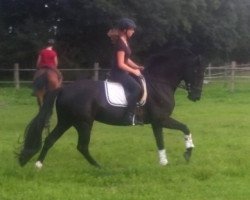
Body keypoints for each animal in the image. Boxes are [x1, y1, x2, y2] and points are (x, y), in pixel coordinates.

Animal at [17, 48, 205, 169]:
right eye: (197, 71)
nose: (196, 97)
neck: (159, 83)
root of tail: (64, 88)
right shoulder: (160, 119)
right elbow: (178, 131)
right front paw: (181, 155)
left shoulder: (158, 121)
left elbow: (168, 137)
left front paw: (173, 158)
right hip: (83, 123)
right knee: (81, 146)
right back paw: (100, 167)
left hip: (67, 121)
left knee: (50, 139)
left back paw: (38, 165)